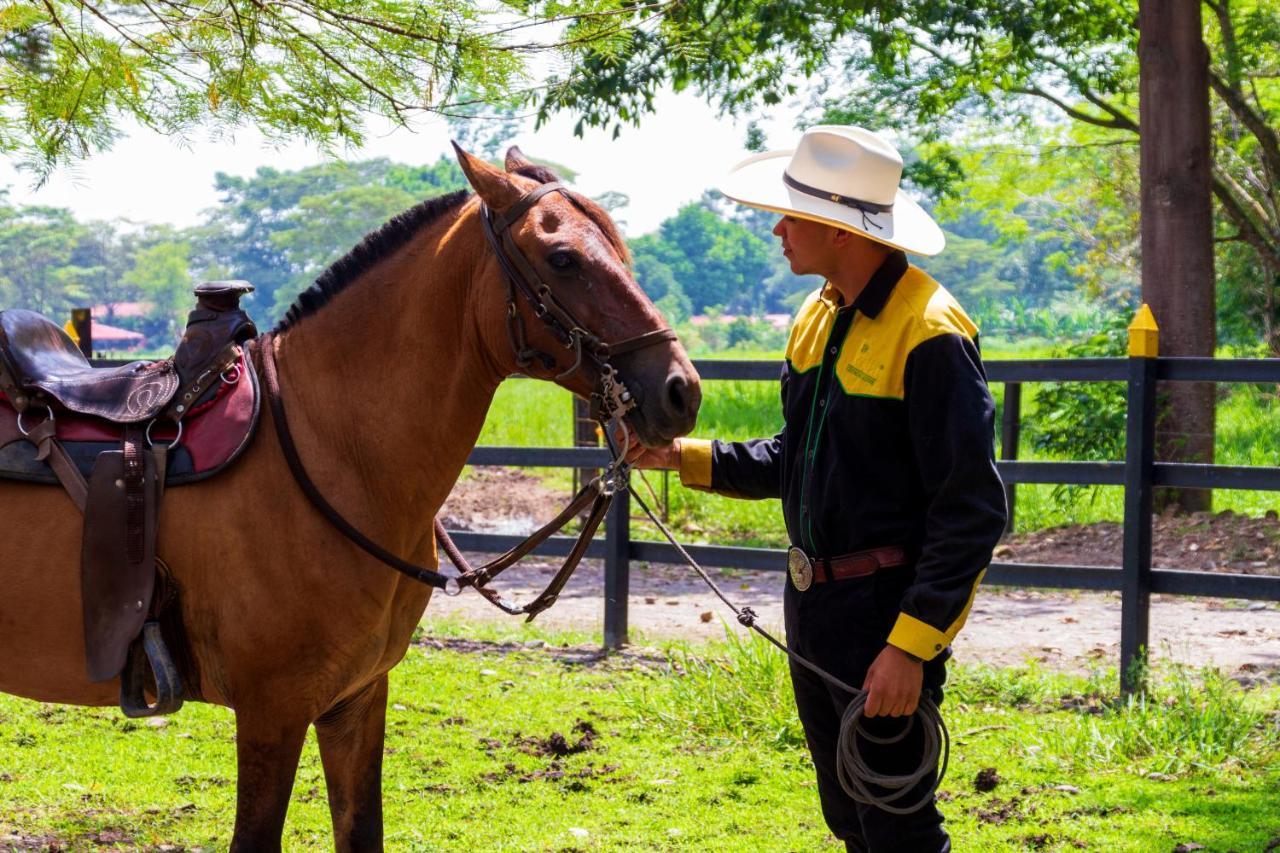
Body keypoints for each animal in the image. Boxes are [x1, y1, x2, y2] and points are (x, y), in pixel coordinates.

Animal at [0, 142, 701, 845]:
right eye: (563, 258)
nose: (681, 391)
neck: (328, 447)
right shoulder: (273, 710)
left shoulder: (356, 698)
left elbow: (361, 828)